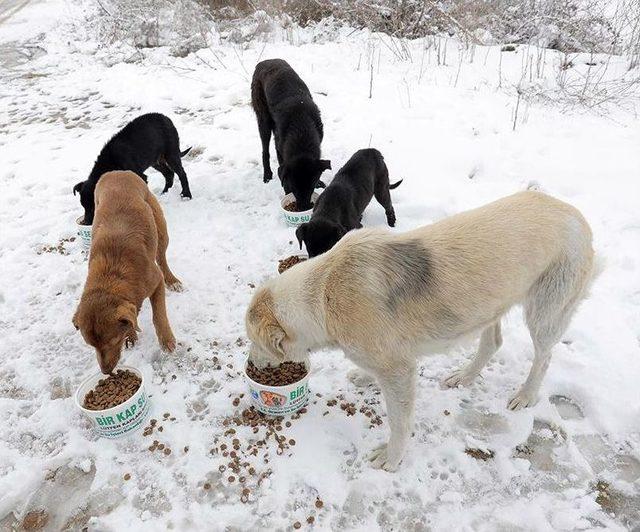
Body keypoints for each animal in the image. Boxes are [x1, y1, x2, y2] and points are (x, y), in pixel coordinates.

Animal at [73, 170, 182, 374]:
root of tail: (117, 171)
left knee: (162, 257)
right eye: (92, 345)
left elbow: (159, 315)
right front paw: (131, 334)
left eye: (112, 341)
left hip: (160, 226)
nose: (106, 372)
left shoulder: (155, 282)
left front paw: (166, 340)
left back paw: (173, 280)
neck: (111, 276)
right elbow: (131, 319)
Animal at [244, 191, 596, 470]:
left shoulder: (398, 372)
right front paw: (364, 377)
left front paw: (392, 458)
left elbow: (399, 424)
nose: (252, 365)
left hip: (544, 313)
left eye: (253, 342)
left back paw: (525, 395)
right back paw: (465, 376)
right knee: (493, 342)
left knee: (544, 357)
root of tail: (575, 213)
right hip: (488, 306)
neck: (322, 296)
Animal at [250, 59, 330, 210]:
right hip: (264, 121)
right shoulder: (281, 150)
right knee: (265, 150)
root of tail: (264, 62)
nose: (304, 208)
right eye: (294, 188)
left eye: (311, 187)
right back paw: (267, 174)